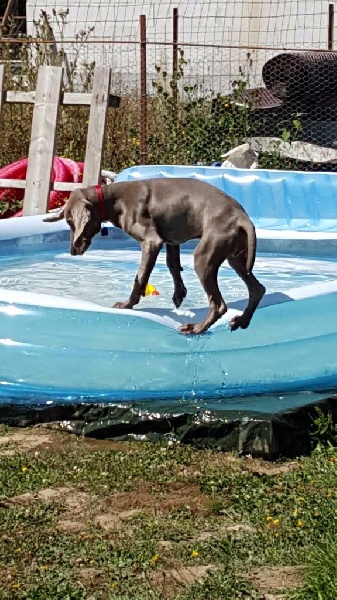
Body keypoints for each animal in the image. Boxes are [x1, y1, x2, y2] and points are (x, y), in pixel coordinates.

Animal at [43, 178, 266, 338]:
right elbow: (172, 264)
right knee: (257, 289)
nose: (73, 250)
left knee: (219, 305)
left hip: (205, 256)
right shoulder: (171, 240)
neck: (112, 199)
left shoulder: (152, 241)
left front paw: (127, 304)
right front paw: (179, 294)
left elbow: (140, 276)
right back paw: (241, 321)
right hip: (236, 257)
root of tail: (242, 217)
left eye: (71, 222)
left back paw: (195, 328)